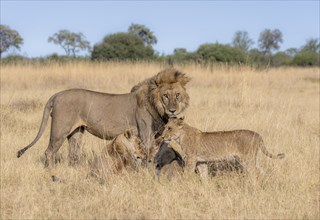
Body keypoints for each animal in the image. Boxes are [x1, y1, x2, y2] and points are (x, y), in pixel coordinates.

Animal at [16, 69, 190, 168]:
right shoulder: (145, 134)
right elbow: (147, 154)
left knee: (73, 155)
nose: (173, 110)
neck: (157, 108)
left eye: (177, 95)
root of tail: (57, 95)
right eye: (165, 95)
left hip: (76, 132)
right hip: (60, 130)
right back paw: (50, 171)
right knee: (49, 152)